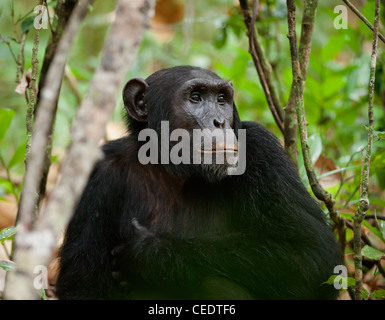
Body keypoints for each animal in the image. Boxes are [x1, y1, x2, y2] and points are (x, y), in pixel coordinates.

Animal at [54, 65, 342, 300]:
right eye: (195, 97)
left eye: (222, 99)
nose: (220, 121)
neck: (174, 170)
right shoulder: (96, 175)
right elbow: (82, 284)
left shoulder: (263, 153)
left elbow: (312, 254)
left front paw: (150, 253)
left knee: (217, 285)